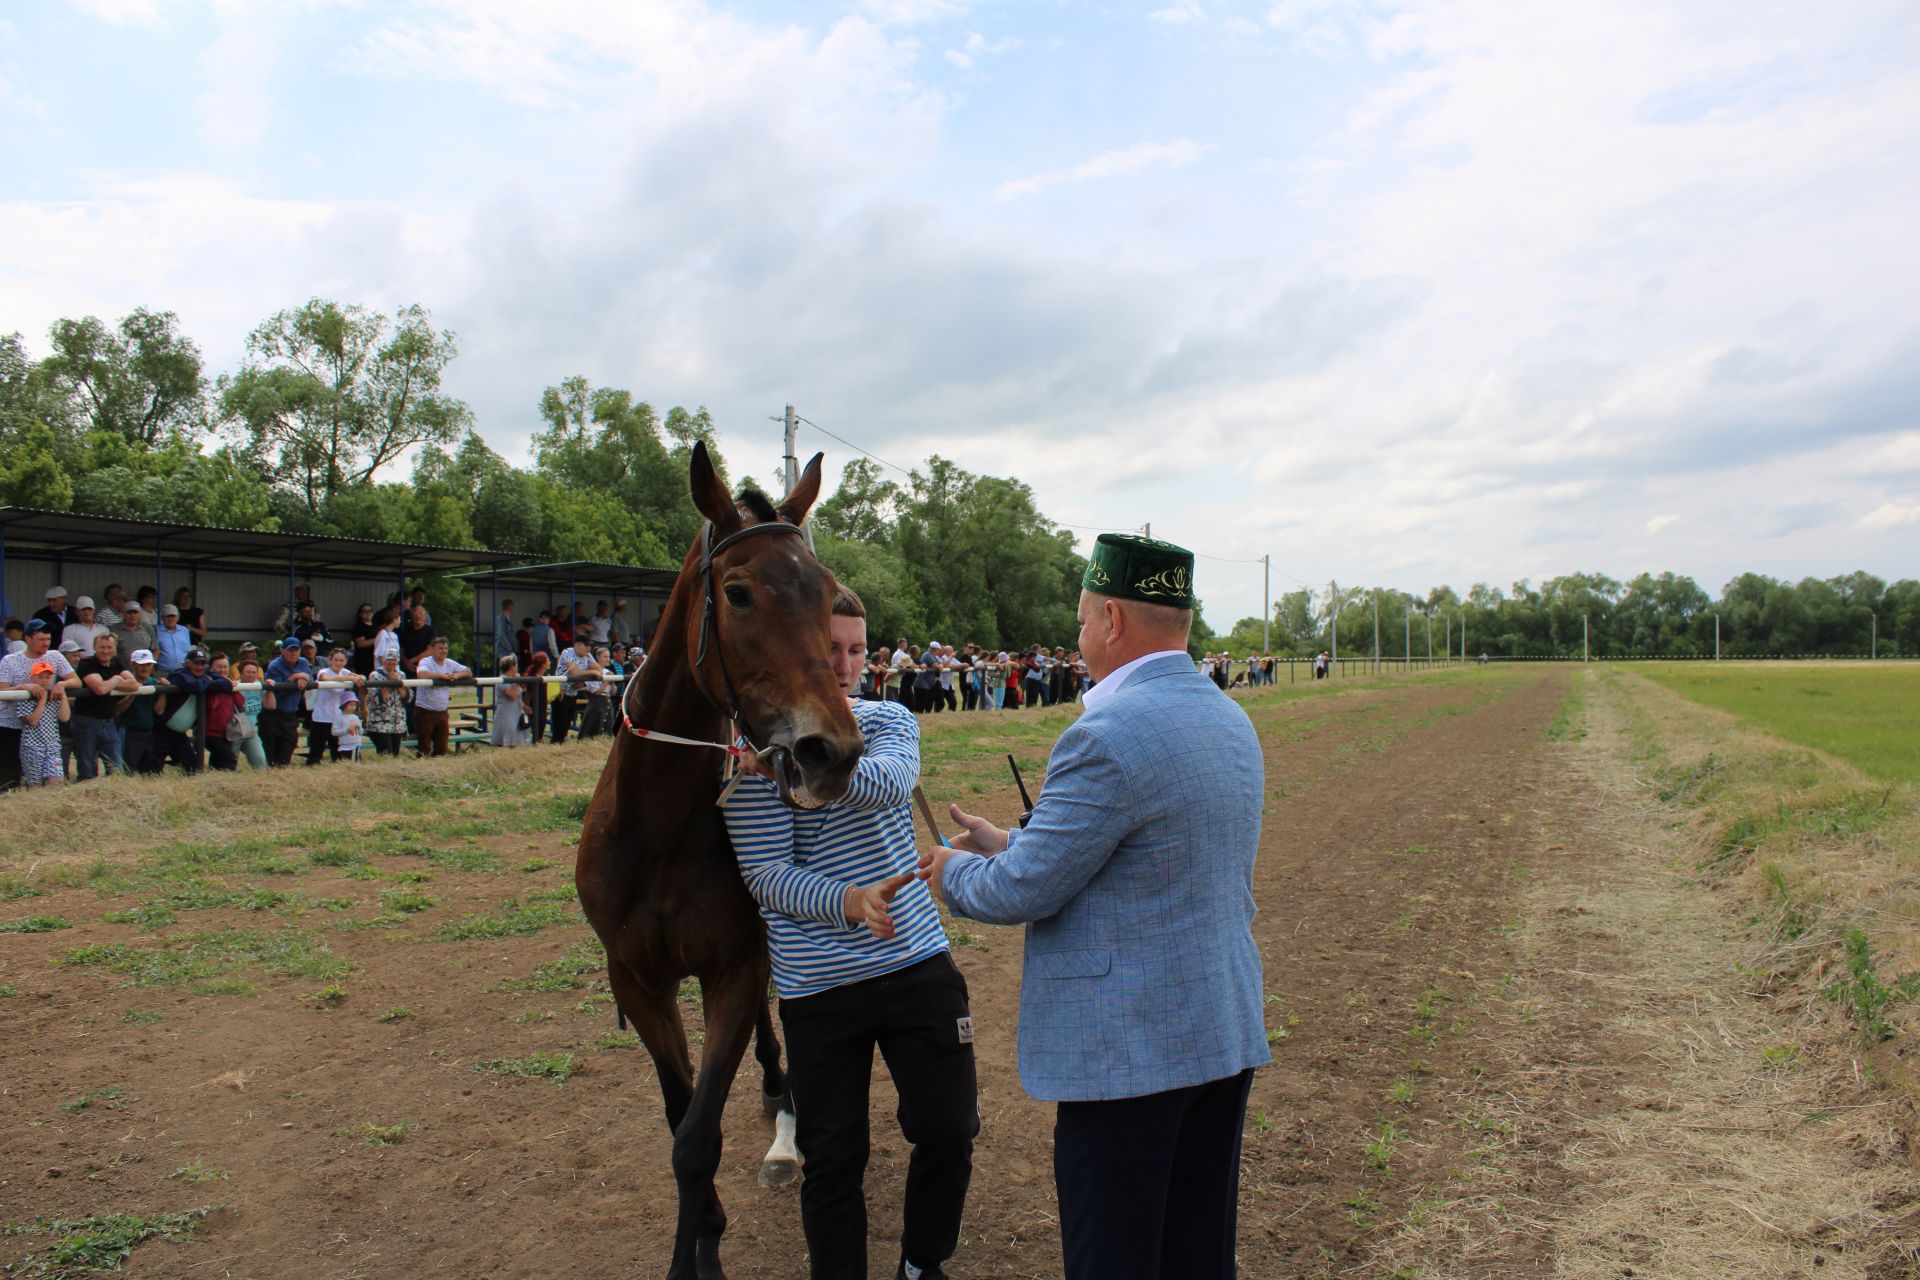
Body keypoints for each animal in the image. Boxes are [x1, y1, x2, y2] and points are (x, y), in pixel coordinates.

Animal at [572, 449, 867, 1280]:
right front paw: (703, 1238)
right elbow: (680, 1119)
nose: (832, 751)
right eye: (738, 592)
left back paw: (783, 1101)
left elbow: (697, 1139)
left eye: (830, 594)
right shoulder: (638, 981)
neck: (658, 830)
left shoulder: (732, 968)